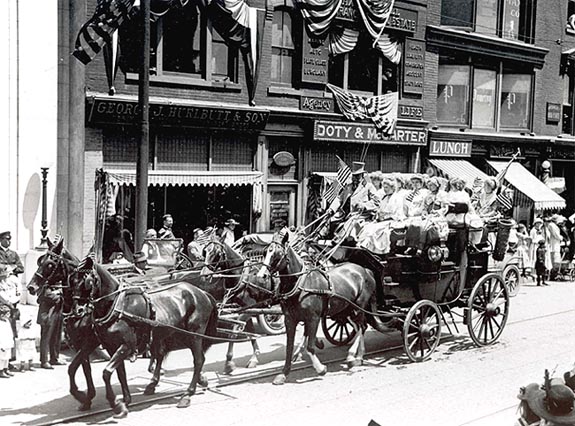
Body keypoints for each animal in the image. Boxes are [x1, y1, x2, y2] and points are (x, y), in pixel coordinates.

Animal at [27, 238, 132, 412]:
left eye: (50, 264)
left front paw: (85, 396)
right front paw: (87, 397)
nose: (31, 286)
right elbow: (81, 367)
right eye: (39, 261)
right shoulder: (80, 343)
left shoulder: (91, 341)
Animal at [70, 253, 218, 416]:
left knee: (198, 360)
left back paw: (187, 394)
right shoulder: (108, 344)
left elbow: (107, 372)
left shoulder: (127, 345)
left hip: (194, 334)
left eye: (87, 281)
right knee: (162, 354)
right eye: (72, 280)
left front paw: (116, 403)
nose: (78, 310)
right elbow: (117, 372)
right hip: (172, 333)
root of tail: (201, 292)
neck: (116, 305)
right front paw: (123, 400)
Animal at [258, 230, 396, 386]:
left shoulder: (313, 318)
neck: (302, 285)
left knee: (362, 327)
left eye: (278, 253)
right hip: (347, 309)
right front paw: (284, 373)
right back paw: (357, 355)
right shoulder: (290, 319)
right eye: (265, 252)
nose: (261, 275)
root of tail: (366, 270)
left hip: (359, 307)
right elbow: (289, 347)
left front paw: (320, 368)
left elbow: (310, 346)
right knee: (359, 327)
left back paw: (355, 357)